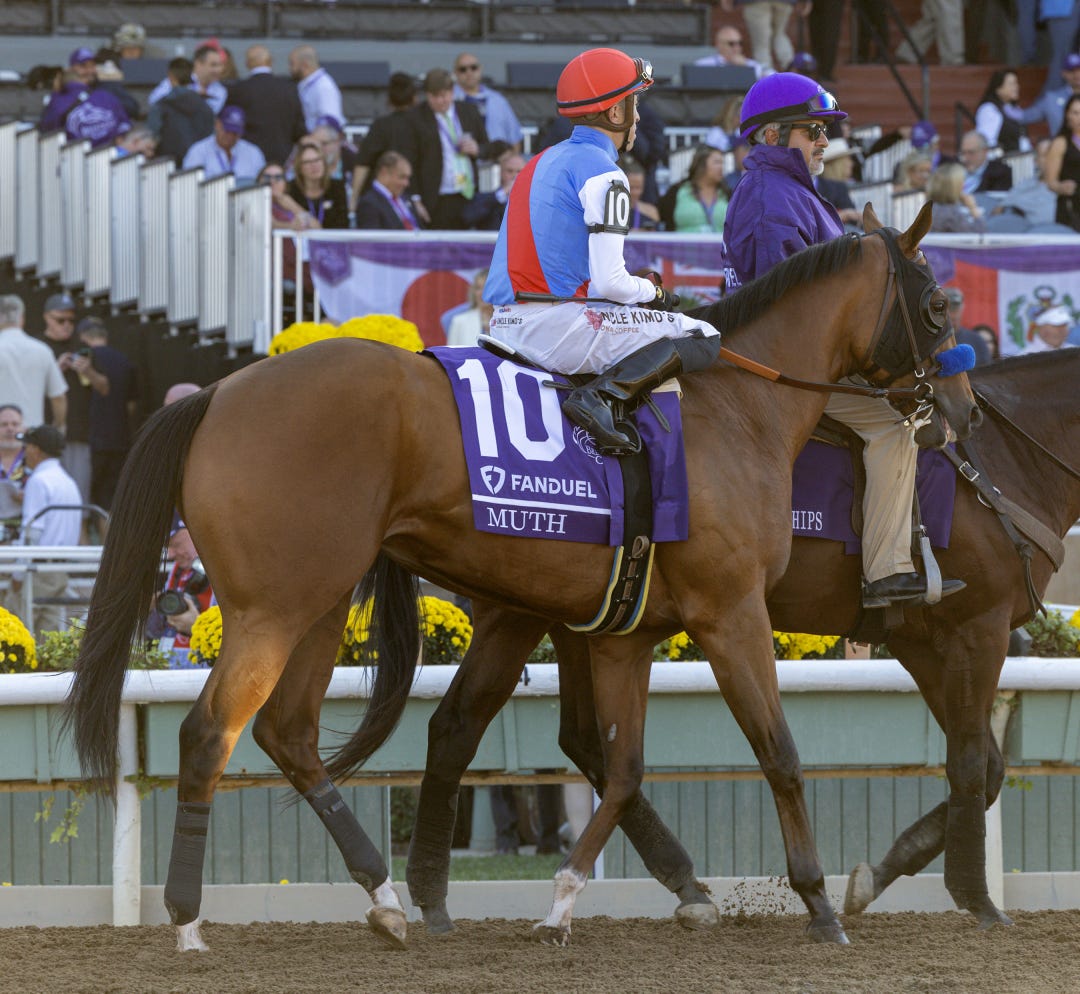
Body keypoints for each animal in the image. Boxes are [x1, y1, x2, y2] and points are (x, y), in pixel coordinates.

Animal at [64, 204, 978, 952]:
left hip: (319, 600)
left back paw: (388, 898)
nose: (962, 411)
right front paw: (820, 904)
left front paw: (567, 901)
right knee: (208, 733)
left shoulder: (627, 632)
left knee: (287, 733)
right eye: (939, 307)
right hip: (272, 607)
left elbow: (622, 767)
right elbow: (778, 750)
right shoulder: (731, 611)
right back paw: (189, 920)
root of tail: (217, 393)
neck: (733, 407)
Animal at [404, 348, 1080, 937]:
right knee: (494, 729)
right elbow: (970, 765)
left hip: (560, 615)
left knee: (484, 728)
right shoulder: (978, 627)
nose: (959, 416)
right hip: (531, 612)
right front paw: (976, 898)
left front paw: (880, 875)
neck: (1001, 466)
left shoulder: (924, 638)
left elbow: (988, 765)